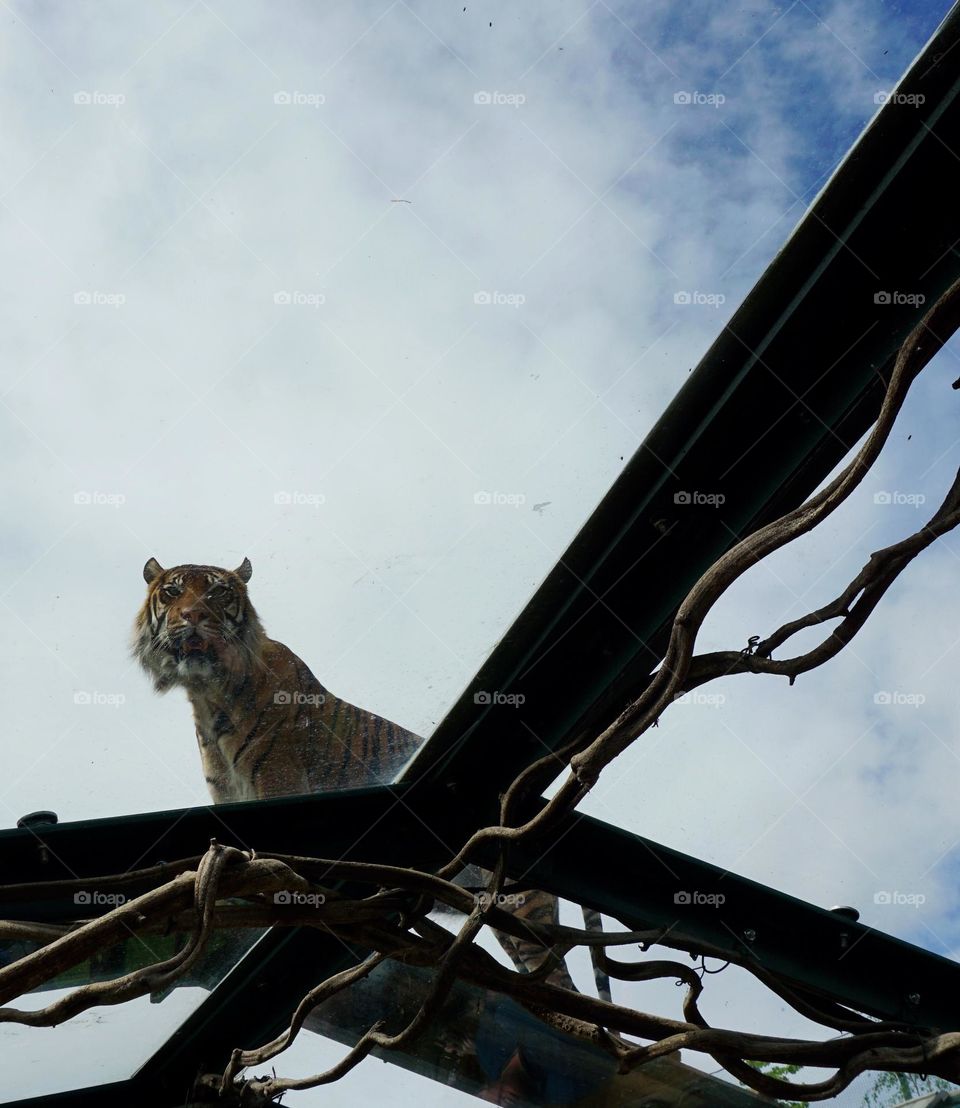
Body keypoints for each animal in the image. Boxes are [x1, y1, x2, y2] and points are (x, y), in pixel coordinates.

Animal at [130, 558, 611, 1001]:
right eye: (172, 592)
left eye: (217, 594)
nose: (193, 616)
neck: (209, 694)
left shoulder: (278, 783)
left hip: (525, 909)